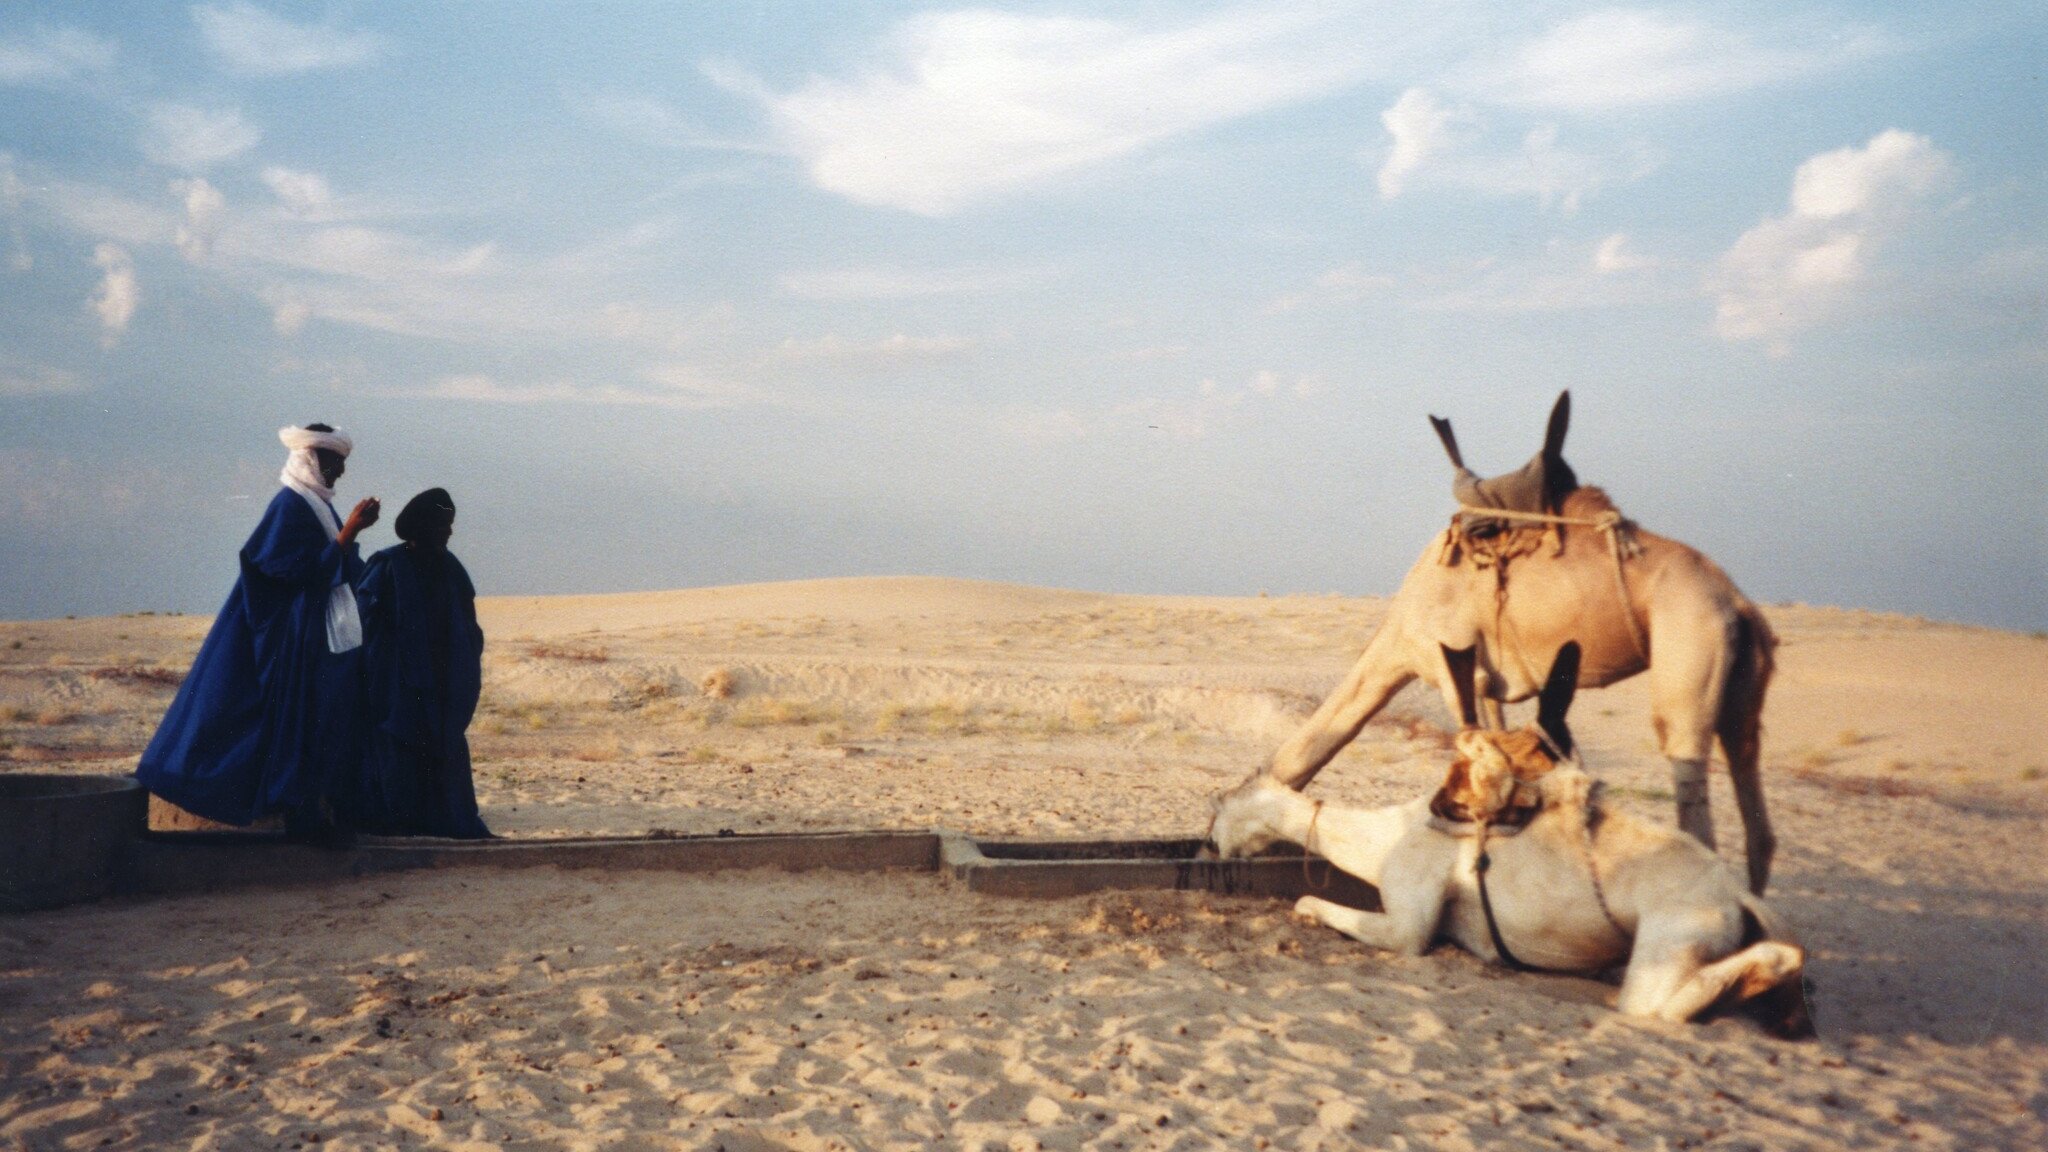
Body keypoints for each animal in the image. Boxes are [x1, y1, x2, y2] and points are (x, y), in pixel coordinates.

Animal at [1213, 645, 1813, 1036]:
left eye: (1220, 805)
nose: (1211, 842)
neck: (1387, 836)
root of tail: (1737, 897)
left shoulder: (1408, 924)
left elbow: (1314, 903)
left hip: (1669, 948)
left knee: (1660, 1006)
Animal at [1267, 392, 1779, 894]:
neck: (1400, 633)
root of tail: (1739, 603)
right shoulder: (1486, 679)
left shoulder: (1453, 662)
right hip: (1741, 688)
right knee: (1756, 813)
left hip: (1689, 655)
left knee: (1693, 794)